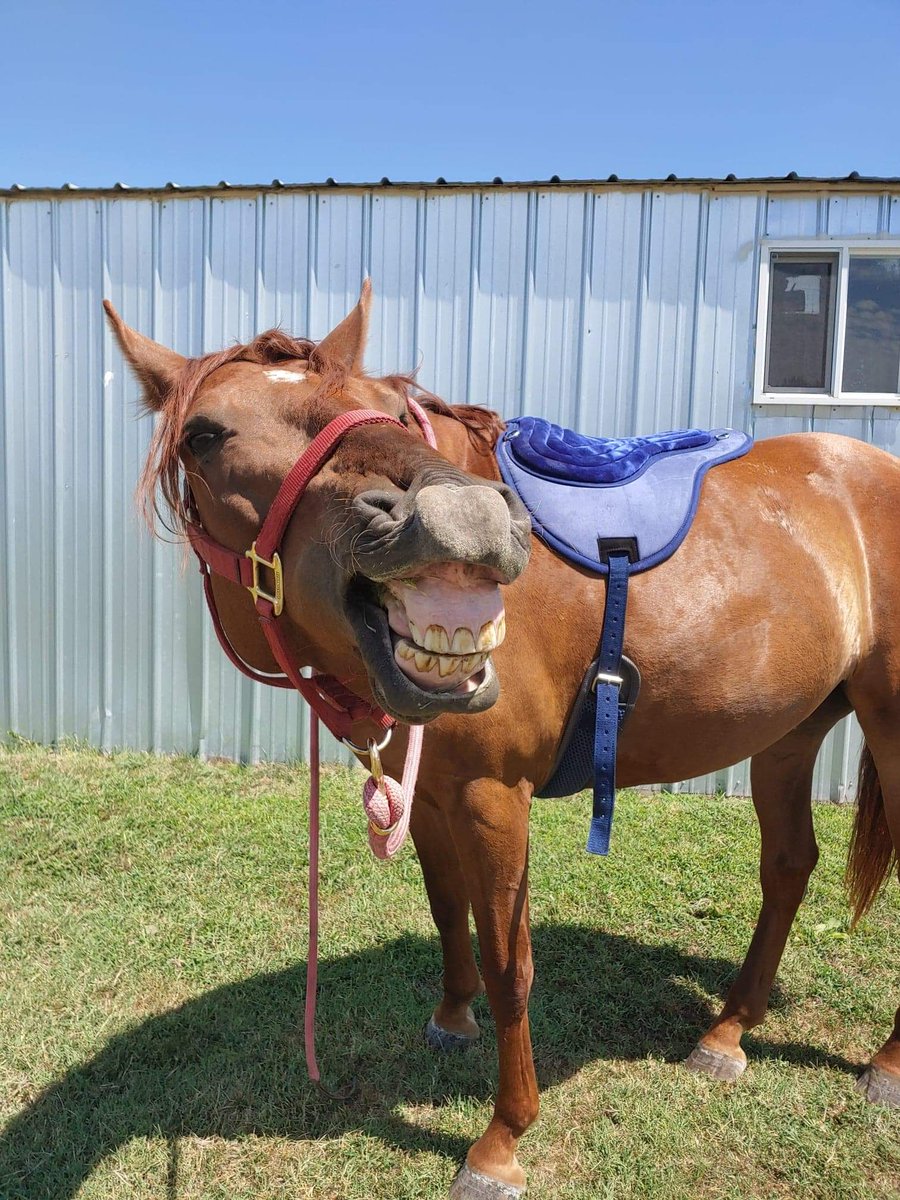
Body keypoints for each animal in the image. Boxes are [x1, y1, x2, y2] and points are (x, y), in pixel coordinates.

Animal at [104, 283, 900, 1198]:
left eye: (388, 409)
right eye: (204, 435)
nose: (467, 520)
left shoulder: (493, 801)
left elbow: (509, 963)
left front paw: (501, 1139)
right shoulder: (430, 794)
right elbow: (448, 913)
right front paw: (452, 1019)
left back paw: (885, 1066)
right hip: (789, 733)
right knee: (789, 866)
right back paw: (727, 1033)